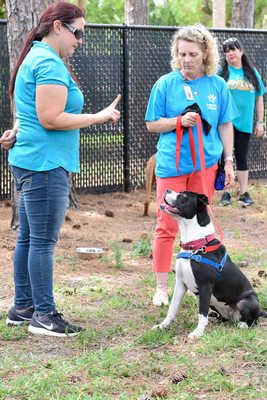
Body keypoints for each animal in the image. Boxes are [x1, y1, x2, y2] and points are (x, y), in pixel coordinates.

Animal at [153, 190, 266, 338]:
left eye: (184, 196)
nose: (167, 190)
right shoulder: (180, 283)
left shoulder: (205, 287)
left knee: (253, 321)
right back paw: (214, 318)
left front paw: (197, 332)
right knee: (224, 318)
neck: (196, 246)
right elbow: (172, 307)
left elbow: (201, 314)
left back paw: (243, 324)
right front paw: (163, 325)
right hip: (215, 304)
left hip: (246, 302)